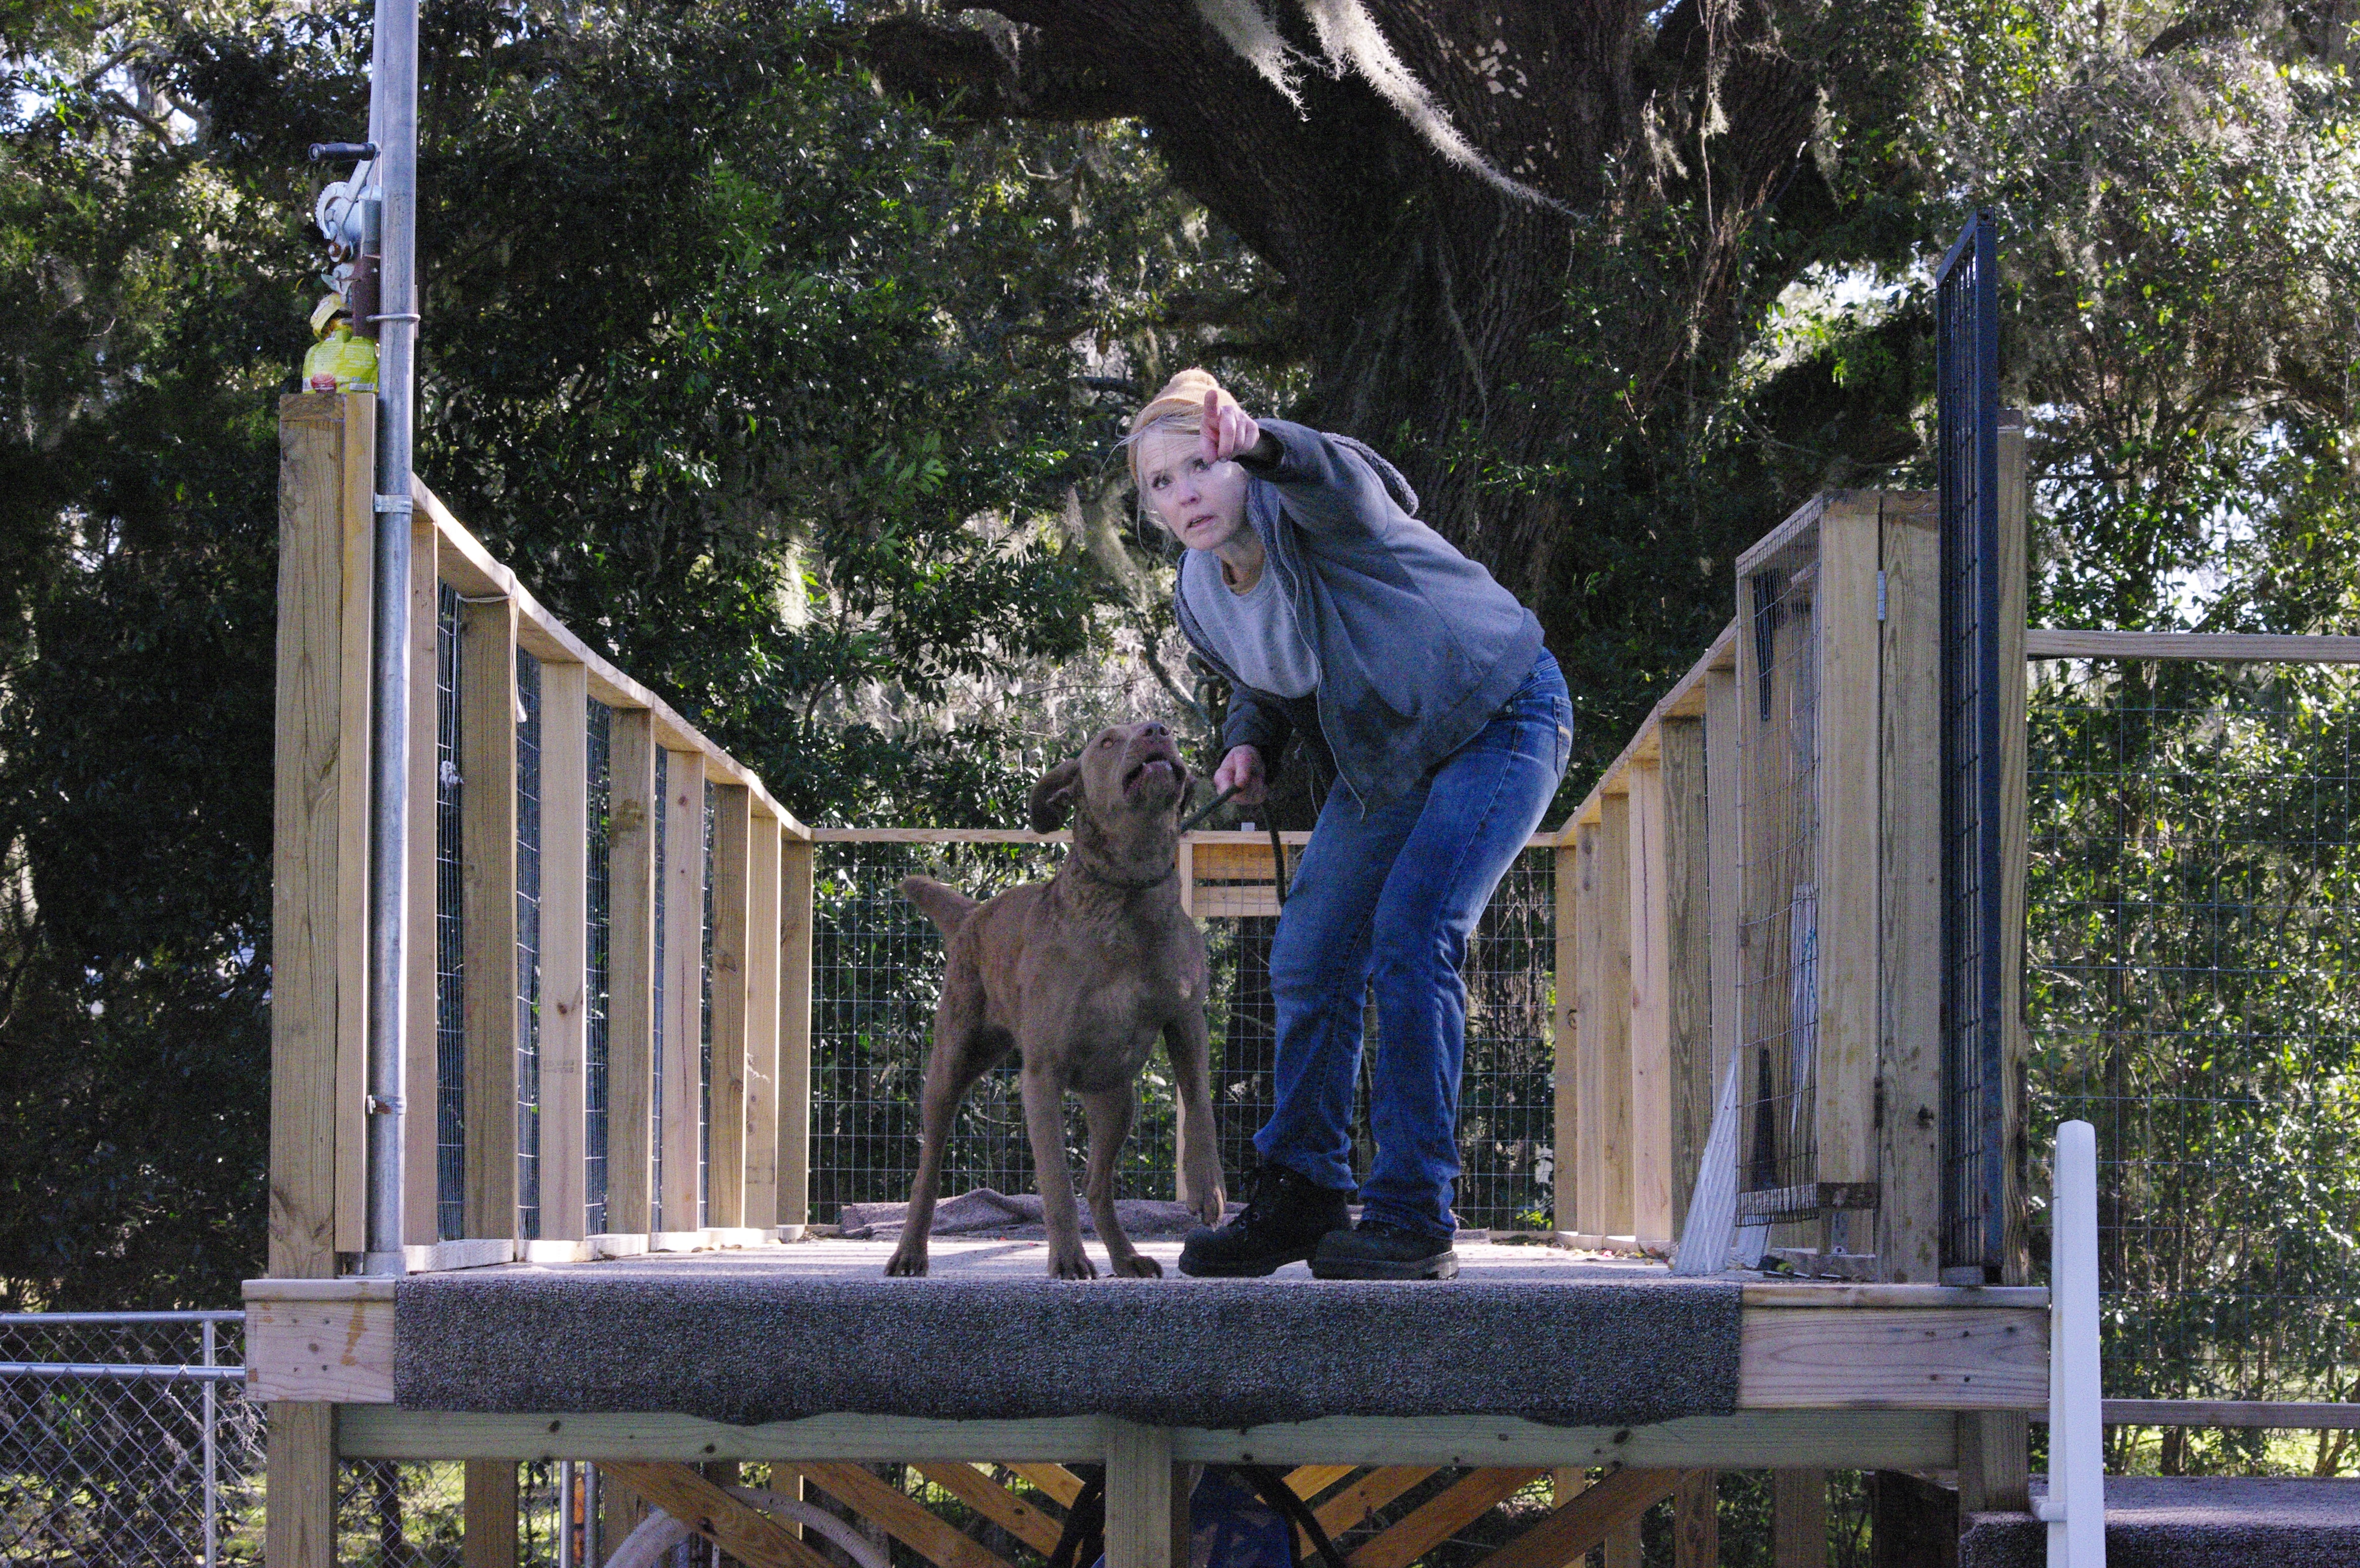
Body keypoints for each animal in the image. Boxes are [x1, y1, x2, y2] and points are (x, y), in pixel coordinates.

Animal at [882, 718, 1217, 1275]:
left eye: (1159, 725)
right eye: (1107, 740)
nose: (1157, 729)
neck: (1128, 893)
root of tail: (973, 913)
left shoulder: (1187, 1021)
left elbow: (1200, 1107)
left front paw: (1208, 1189)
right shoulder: (1042, 1074)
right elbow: (1055, 1181)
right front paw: (1068, 1260)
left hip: (1116, 1099)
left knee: (1098, 1185)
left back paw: (1126, 1257)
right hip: (951, 1063)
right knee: (927, 1170)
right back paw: (909, 1251)